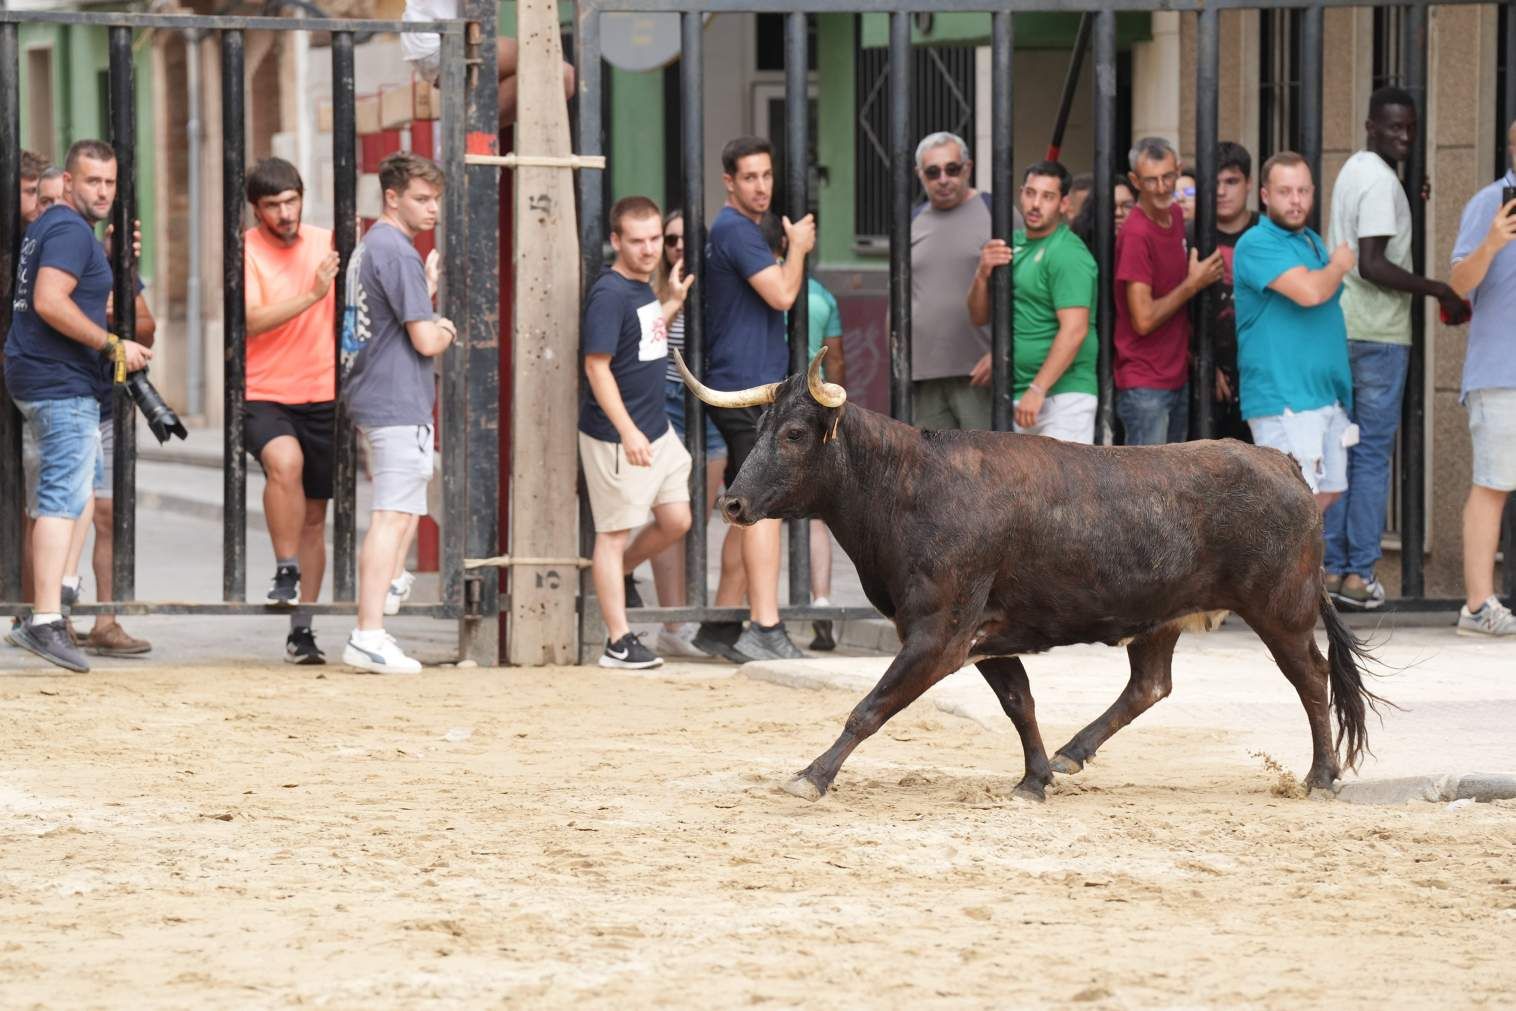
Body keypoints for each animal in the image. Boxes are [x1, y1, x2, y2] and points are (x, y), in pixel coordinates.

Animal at [676, 350, 1388, 806]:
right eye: (761, 427)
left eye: (796, 433)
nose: (731, 504)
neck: (906, 487)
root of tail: (1284, 464)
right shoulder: (988, 638)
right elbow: (1019, 704)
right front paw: (1034, 780)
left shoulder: (937, 635)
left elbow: (869, 707)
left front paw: (811, 777)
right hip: (1162, 617)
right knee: (1151, 685)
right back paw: (1074, 754)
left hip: (1280, 608)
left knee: (1311, 677)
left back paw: (1319, 778)